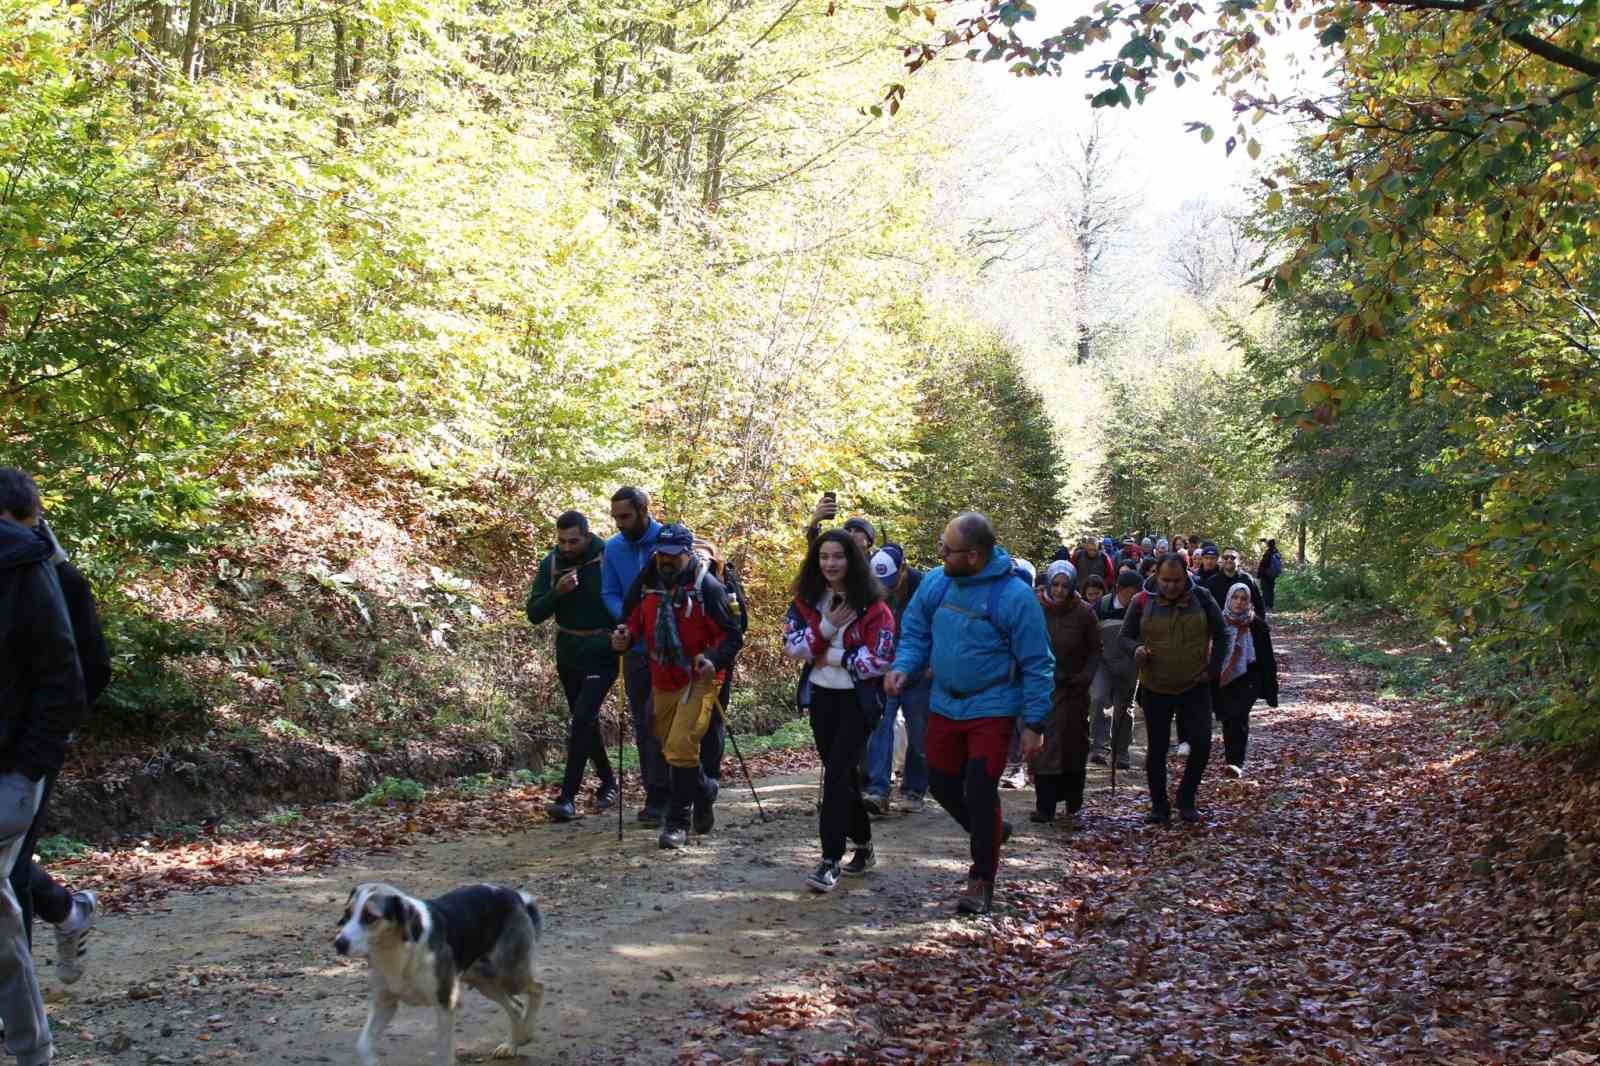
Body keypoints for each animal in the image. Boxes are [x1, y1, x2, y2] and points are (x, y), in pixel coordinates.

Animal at [334, 877, 547, 1062]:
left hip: (510, 975)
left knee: (537, 988)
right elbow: (362, 1045)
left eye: (370, 917)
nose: (338, 944)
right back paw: (512, 1045)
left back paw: (526, 1032)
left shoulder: (445, 1004)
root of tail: (515, 895)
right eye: (347, 914)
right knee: (516, 1006)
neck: (396, 950)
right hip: (484, 982)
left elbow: (443, 1054)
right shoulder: (384, 1004)